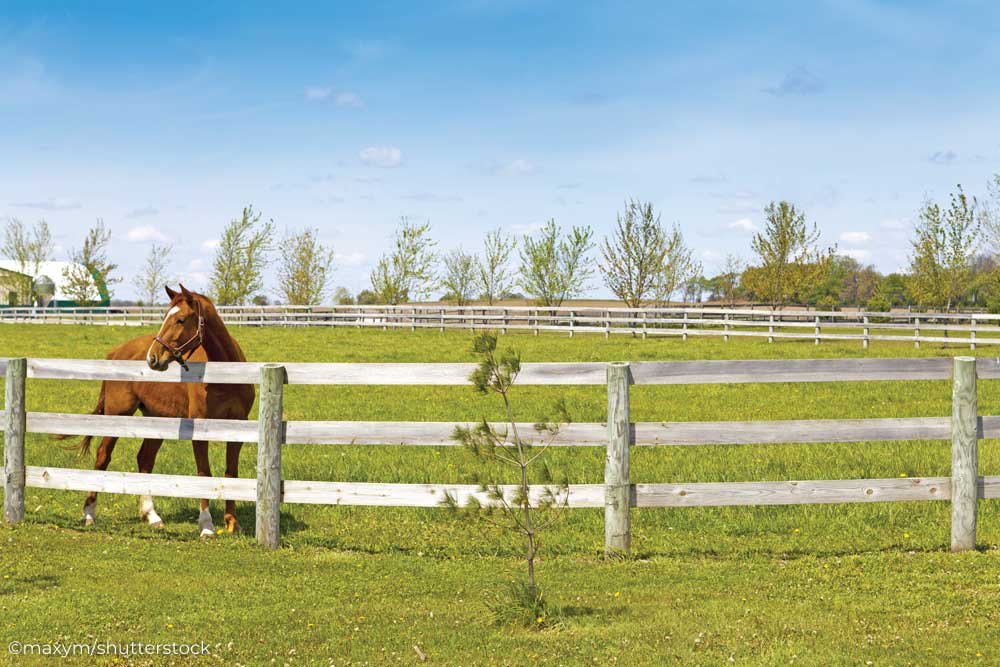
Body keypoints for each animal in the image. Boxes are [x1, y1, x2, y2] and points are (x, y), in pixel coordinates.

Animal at [66, 288, 254, 536]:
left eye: (180, 319)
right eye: (165, 317)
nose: (152, 358)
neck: (226, 376)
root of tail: (116, 351)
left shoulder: (238, 429)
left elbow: (231, 473)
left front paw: (232, 522)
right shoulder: (200, 429)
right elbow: (204, 473)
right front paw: (206, 526)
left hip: (157, 420)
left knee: (145, 459)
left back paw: (152, 516)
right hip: (118, 416)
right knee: (103, 456)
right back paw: (89, 514)